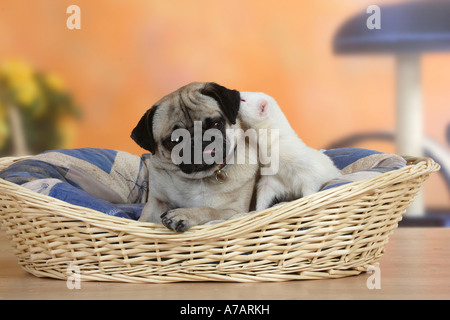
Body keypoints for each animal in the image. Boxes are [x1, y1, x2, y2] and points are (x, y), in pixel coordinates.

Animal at [131, 82, 256, 232]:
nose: (199, 140)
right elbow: (143, 220)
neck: (199, 177)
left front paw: (182, 214)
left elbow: (209, 210)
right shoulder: (157, 201)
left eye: (216, 124)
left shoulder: (235, 212)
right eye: (174, 140)